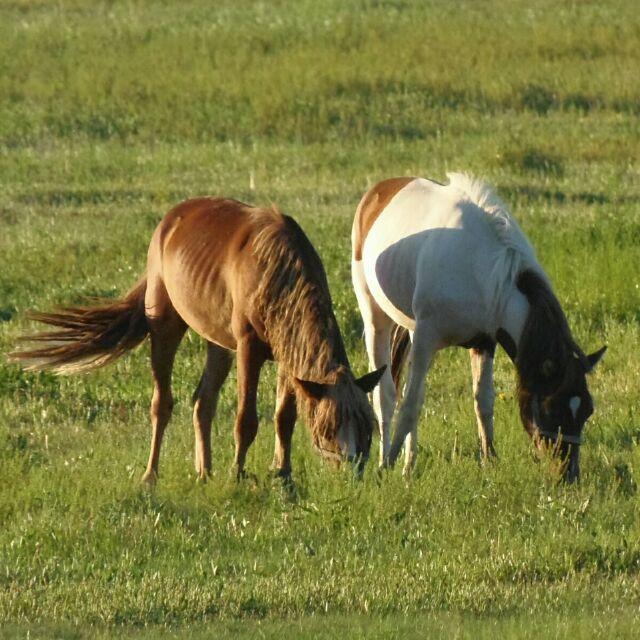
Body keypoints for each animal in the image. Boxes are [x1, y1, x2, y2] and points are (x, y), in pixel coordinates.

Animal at [11, 198, 384, 482]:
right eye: (330, 428)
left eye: (368, 428)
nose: (353, 474)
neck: (277, 271)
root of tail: (170, 220)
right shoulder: (248, 348)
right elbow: (246, 420)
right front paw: (237, 475)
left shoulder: (288, 353)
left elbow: (284, 418)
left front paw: (284, 476)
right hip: (165, 325)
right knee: (162, 403)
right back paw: (150, 476)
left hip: (217, 343)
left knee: (203, 402)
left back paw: (204, 472)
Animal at [352, 172, 608, 482]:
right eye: (552, 407)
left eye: (587, 410)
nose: (569, 473)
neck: (482, 273)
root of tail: (379, 190)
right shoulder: (427, 338)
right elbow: (409, 407)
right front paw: (387, 464)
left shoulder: (484, 341)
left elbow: (483, 402)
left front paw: (489, 460)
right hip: (375, 317)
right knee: (386, 396)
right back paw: (385, 460)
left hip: (412, 330)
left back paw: (409, 464)